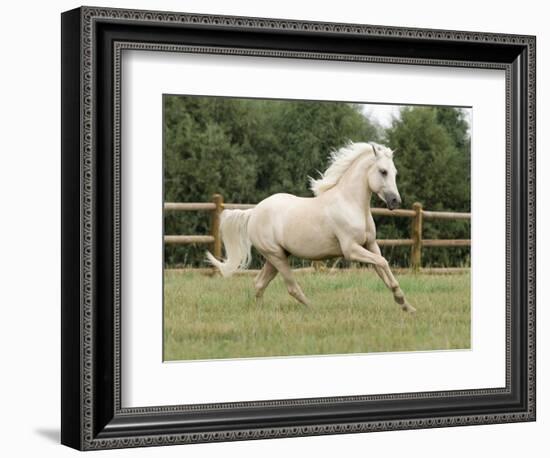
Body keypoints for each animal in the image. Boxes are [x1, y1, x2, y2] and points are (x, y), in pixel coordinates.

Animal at [207, 141, 418, 314]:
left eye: (395, 173)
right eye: (383, 171)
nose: (395, 201)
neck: (350, 203)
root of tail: (253, 212)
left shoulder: (371, 245)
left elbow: (382, 266)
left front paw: (407, 306)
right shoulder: (351, 250)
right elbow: (383, 263)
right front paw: (401, 299)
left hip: (276, 257)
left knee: (259, 283)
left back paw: (260, 312)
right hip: (276, 256)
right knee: (291, 287)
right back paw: (313, 309)